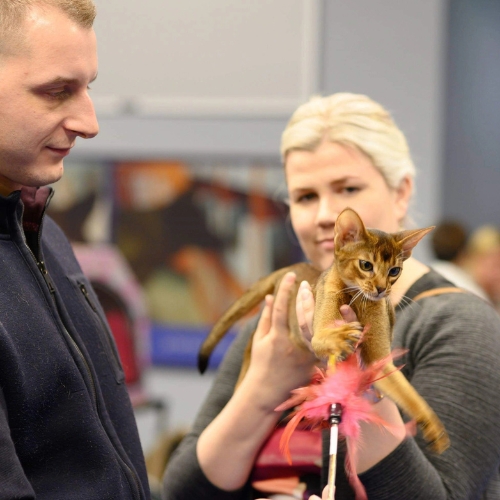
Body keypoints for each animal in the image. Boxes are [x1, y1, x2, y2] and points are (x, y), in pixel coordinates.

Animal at [198, 207, 449, 453]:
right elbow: (325, 337)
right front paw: (341, 335)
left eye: (394, 271)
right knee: (251, 340)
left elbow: (408, 393)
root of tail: (292, 267)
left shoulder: (379, 360)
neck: (356, 298)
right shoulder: (319, 329)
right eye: (366, 265)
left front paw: (432, 425)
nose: (381, 289)